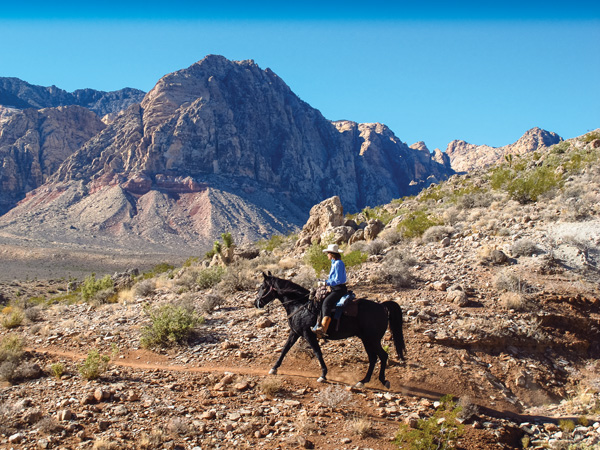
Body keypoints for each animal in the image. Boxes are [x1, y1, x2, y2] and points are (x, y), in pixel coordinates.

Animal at [255, 272, 406, 388]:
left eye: (262, 287)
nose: (256, 303)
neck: (301, 305)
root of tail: (382, 306)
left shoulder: (308, 334)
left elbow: (317, 353)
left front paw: (323, 375)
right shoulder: (295, 333)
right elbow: (285, 349)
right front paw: (274, 368)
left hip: (372, 339)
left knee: (382, 356)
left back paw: (382, 380)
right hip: (366, 339)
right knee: (374, 358)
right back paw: (363, 381)